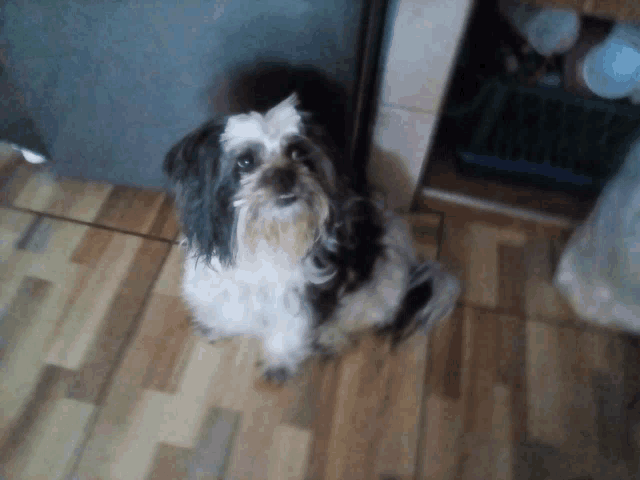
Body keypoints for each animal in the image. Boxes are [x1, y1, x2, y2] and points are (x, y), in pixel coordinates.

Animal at [162, 93, 458, 382]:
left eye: (298, 153)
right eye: (245, 161)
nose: (285, 174)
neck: (267, 237)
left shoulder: (303, 293)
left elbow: (291, 327)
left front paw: (280, 362)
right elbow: (223, 304)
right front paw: (217, 326)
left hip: (381, 277)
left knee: (360, 312)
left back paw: (329, 337)